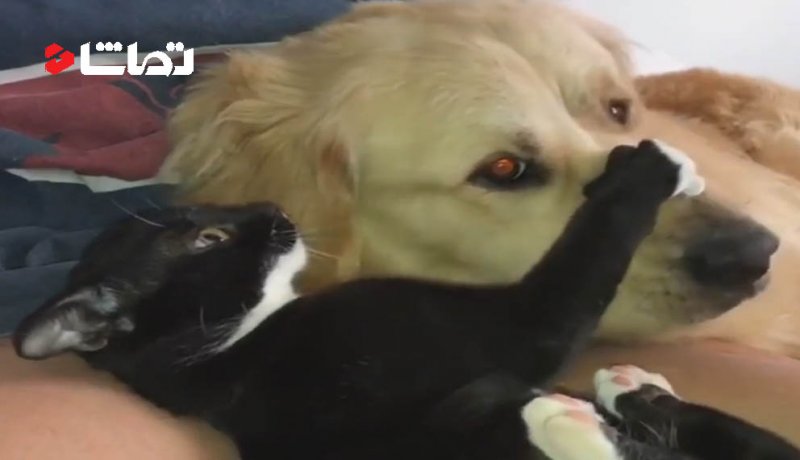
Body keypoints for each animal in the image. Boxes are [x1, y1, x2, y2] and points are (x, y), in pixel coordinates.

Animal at [14, 140, 800, 460]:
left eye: (212, 210)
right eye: (208, 239)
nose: (274, 209)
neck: (230, 349)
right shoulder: (512, 325)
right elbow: (584, 257)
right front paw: (651, 168)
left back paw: (630, 392)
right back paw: (571, 420)